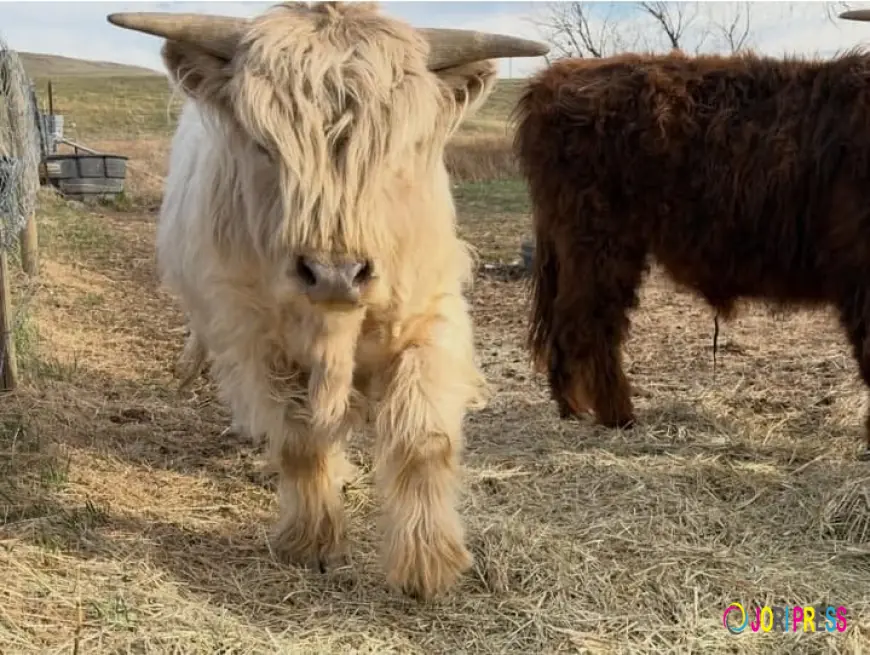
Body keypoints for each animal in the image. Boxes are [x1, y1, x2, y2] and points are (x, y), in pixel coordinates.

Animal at [107, 2, 547, 599]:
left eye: (399, 148)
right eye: (264, 145)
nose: (335, 273)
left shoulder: (430, 316)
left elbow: (423, 438)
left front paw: (429, 561)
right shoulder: (257, 337)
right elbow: (300, 440)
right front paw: (311, 540)